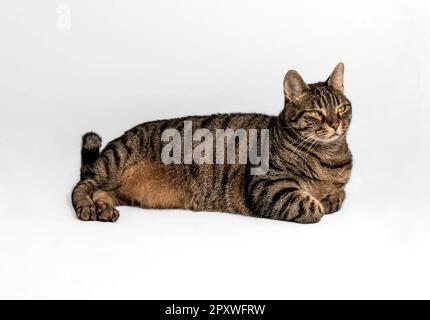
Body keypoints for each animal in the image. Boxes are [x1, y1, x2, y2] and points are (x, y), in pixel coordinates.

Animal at [71, 62, 352, 222]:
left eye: (342, 108)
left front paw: (329, 198)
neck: (329, 158)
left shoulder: (338, 187)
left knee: (101, 191)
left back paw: (104, 208)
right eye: (316, 112)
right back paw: (88, 206)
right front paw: (319, 203)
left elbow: (340, 195)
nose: (335, 123)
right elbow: (311, 208)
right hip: (116, 158)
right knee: (81, 186)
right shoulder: (265, 186)